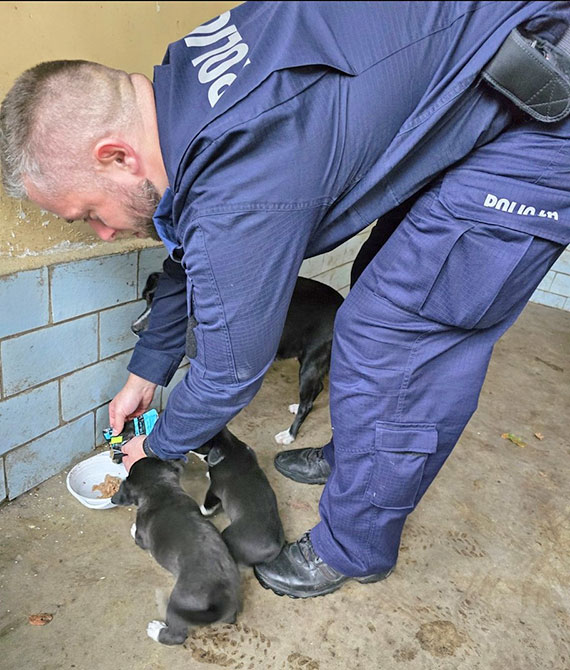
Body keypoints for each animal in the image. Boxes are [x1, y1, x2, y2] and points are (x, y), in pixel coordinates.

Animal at [111, 460, 240, 648]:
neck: (161, 489)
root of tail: (220, 601)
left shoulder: (142, 538)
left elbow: (138, 537)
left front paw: (132, 528)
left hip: (177, 603)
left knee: (177, 636)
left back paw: (155, 630)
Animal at [132, 270, 342, 444]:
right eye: (148, 298)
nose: (134, 328)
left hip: (312, 361)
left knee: (308, 403)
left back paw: (289, 435)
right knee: (317, 389)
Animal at [194, 430, 284, 568]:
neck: (230, 446)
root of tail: (274, 550)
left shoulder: (214, 489)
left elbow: (207, 504)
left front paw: (202, 510)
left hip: (228, 534)